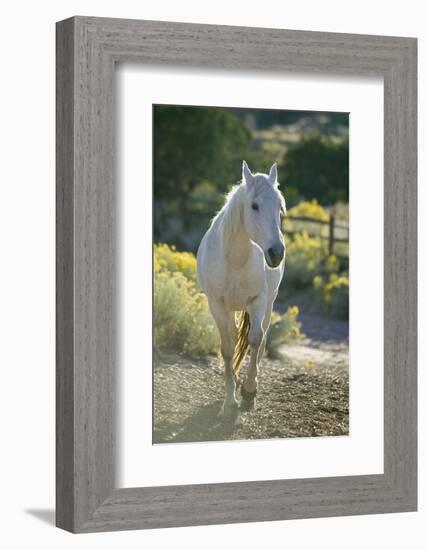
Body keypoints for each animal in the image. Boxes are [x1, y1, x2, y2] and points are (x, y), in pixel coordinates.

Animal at [198, 162, 286, 416]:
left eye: (280, 207)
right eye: (254, 205)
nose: (276, 252)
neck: (235, 259)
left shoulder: (257, 301)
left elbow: (255, 339)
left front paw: (248, 393)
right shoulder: (217, 305)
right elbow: (228, 348)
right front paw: (230, 400)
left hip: (268, 304)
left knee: (262, 339)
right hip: (231, 309)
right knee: (235, 334)